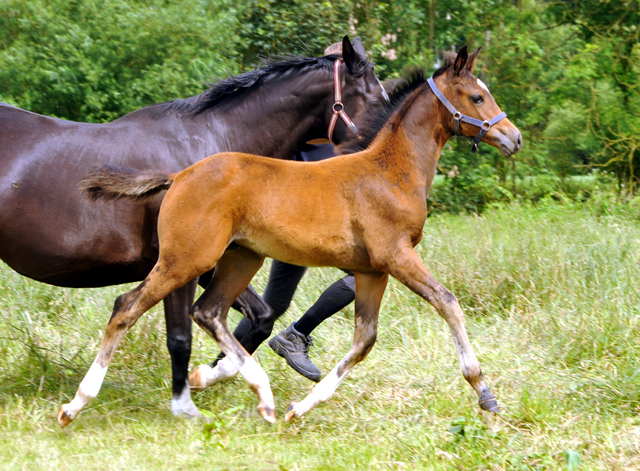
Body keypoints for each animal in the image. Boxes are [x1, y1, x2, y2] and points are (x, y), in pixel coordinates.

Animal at [66, 45, 520, 428]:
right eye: (477, 98)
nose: (513, 138)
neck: (390, 171)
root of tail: (180, 175)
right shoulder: (396, 255)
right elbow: (448, 302)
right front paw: (484, 391)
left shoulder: (372, 270)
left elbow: (364, 341)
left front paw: (299, 407)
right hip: (186, 260)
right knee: (127, 307)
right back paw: (76, 404)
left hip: (241, 258)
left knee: (209, 312)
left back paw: (255, 393)